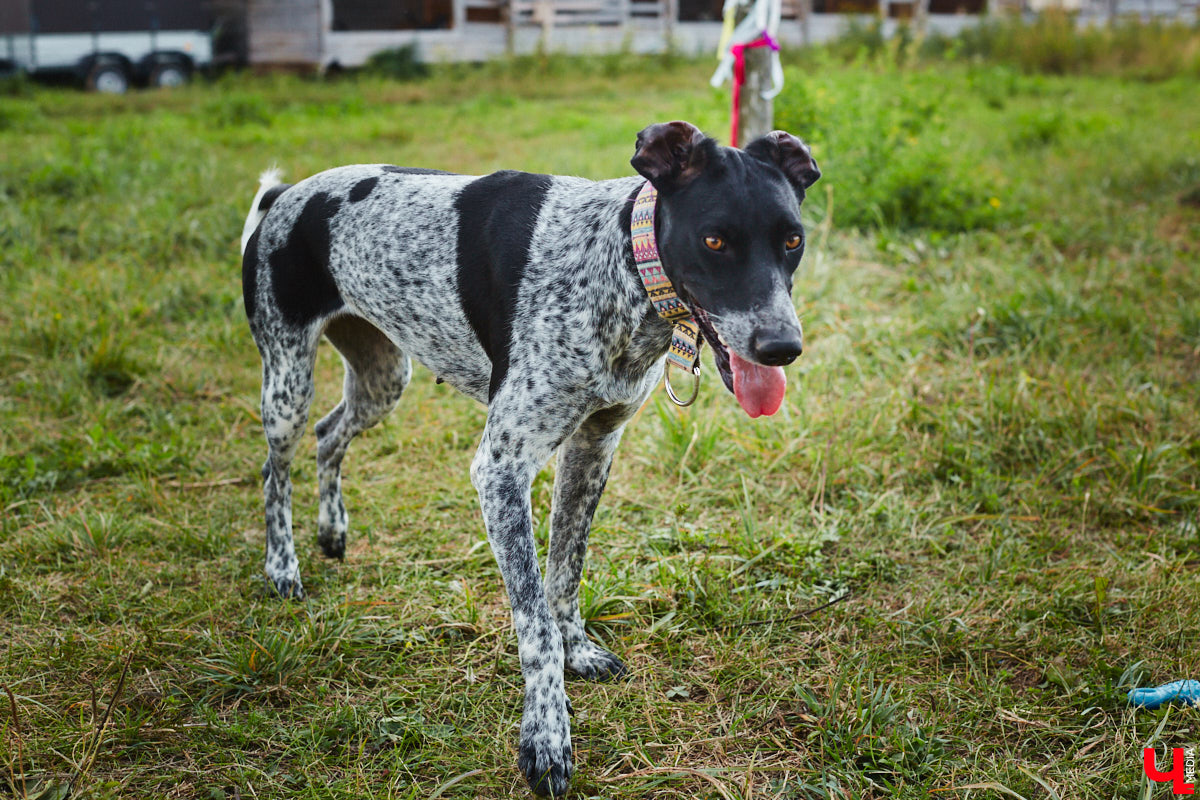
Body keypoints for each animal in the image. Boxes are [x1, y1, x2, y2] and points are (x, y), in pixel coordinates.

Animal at [241, 122, 825, 796]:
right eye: (715, 240)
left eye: (792, 240)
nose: (782, 347)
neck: (616, 265)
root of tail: (284, 198)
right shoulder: (501, 469)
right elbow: (534, 622)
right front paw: (546, 735)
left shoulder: (593, 447)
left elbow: (565, 573)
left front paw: (579, 651)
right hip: (287, 381)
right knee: (274, 468)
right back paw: (282, 565)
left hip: (383, 376)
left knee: (329, 433)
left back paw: (332, 529)